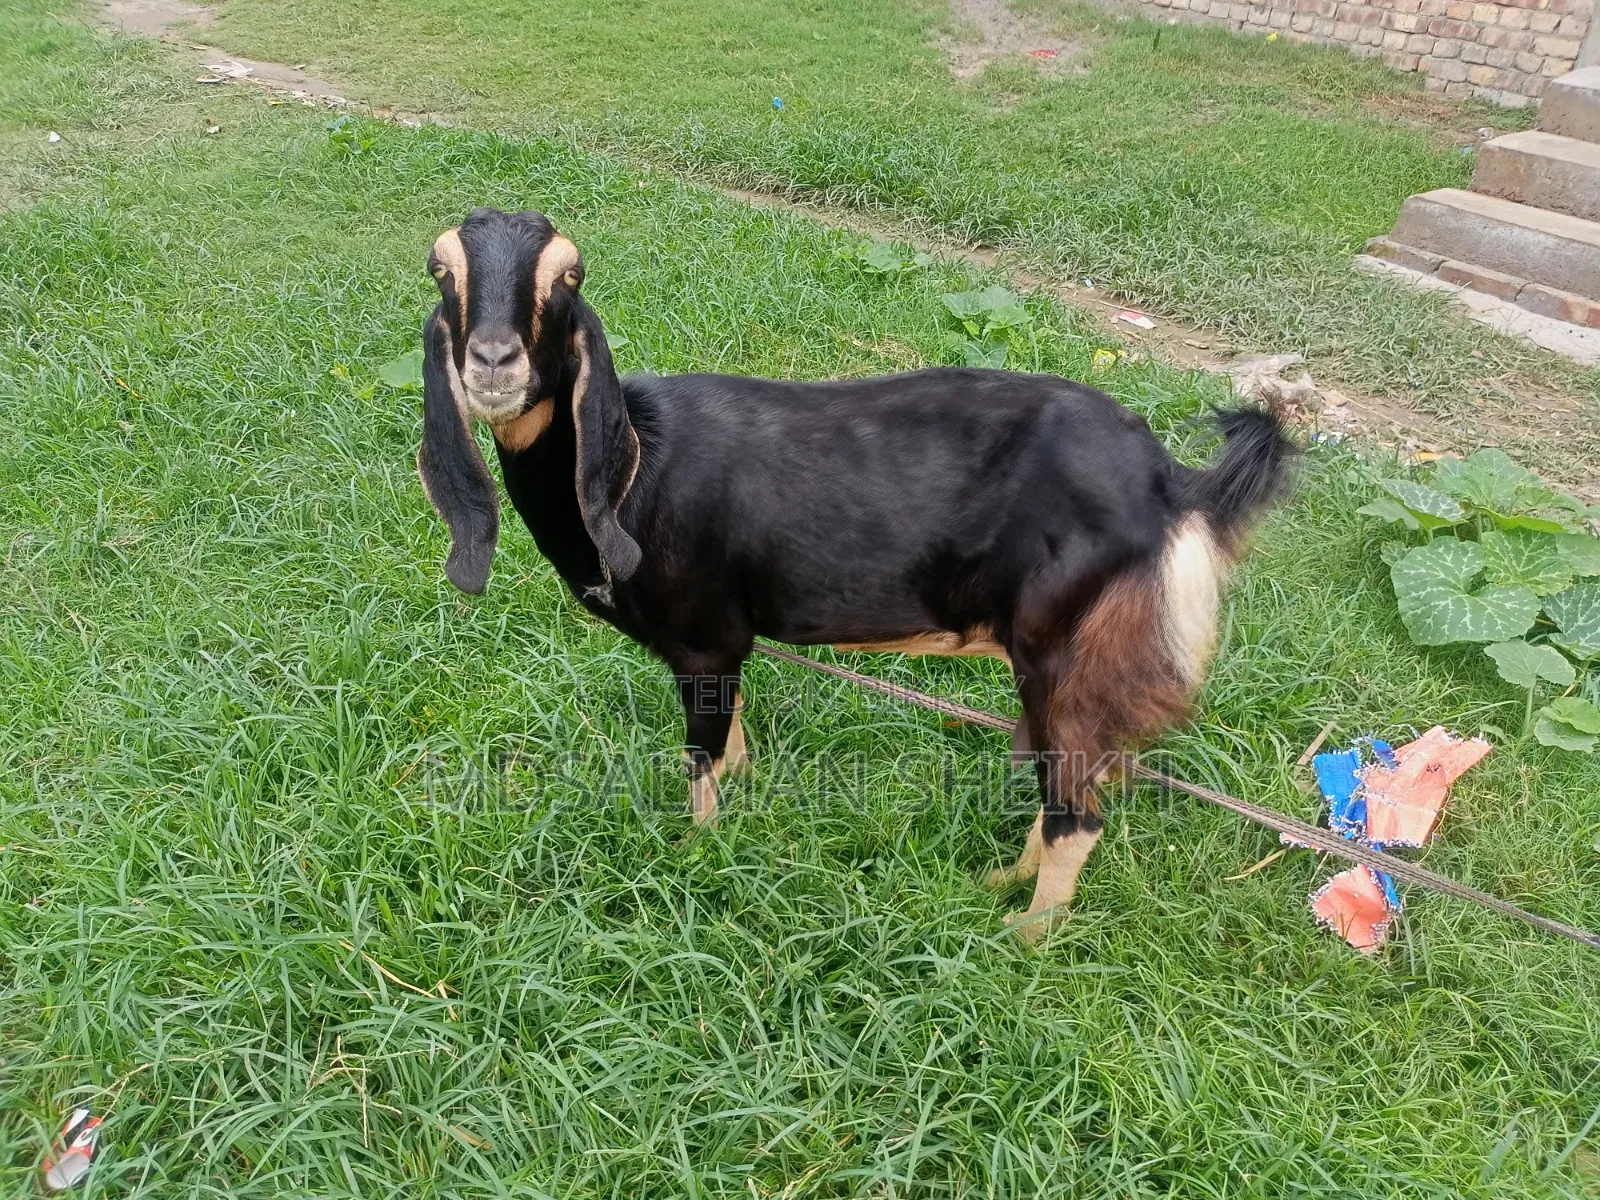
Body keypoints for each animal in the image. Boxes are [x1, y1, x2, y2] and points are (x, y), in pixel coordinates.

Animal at [416, 207, 1296, 936]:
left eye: (570, 275)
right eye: (441, 270)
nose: (493, 361)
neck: (639, 471)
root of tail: (1170, 483)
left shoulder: (704, 643)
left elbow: (702, 763)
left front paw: (694, 860)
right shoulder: (730, 644)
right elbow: (735, 745)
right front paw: (746, 817)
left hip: (1064, 651)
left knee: (1077, 810)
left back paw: (1023, 935)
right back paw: (998, 883)